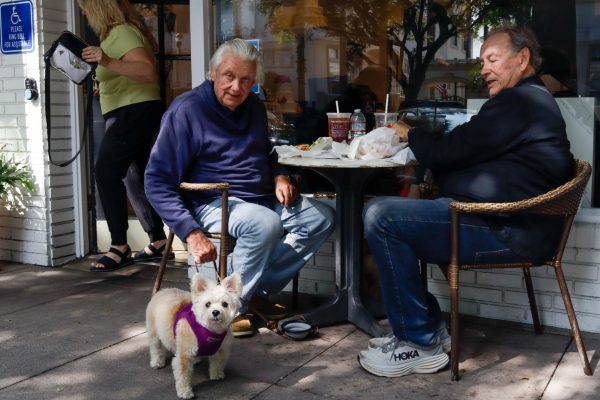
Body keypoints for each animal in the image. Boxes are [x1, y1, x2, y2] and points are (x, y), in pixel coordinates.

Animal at [145, 270, 241, 398]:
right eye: (207, 304)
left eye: (225, 304)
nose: (215, 312)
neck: (210, 330)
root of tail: (163, 290)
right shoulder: (184, 356)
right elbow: (183, 376)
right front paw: (185, 392)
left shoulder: (221, 350)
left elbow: (217, 363)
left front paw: (216, 374)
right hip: (154, 332)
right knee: (156, 348)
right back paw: (157, 362)